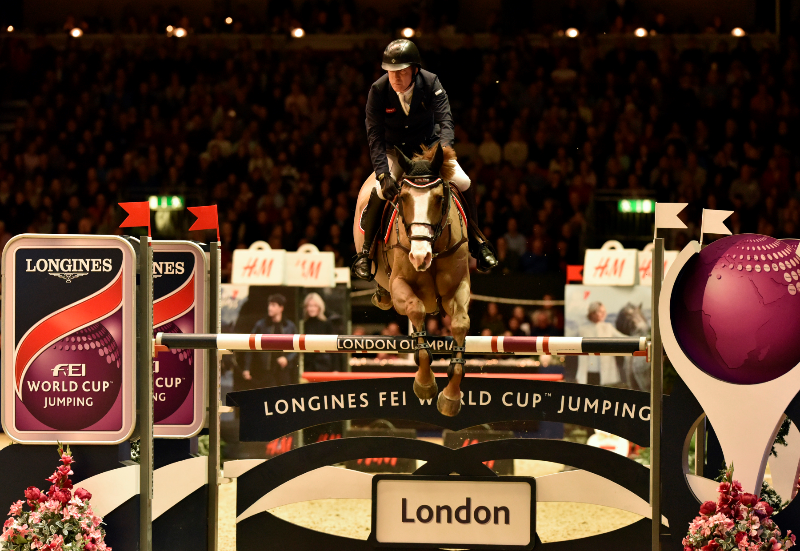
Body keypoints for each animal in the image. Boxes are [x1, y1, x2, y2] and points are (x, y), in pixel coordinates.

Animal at [353, 143, 470, 416]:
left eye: (439, 199)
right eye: (403, 198)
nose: (419, 257)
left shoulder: (458, 288)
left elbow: (460, 324)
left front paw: (451, 397)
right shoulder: (400, 288)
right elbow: (416, 311)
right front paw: (425, 384)